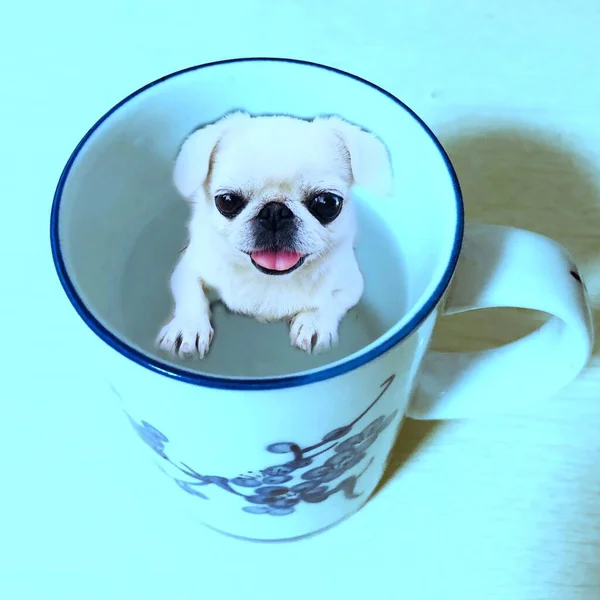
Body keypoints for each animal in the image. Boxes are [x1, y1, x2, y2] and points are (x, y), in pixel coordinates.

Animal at [157, 111, 392, 356]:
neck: (270, 280)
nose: (275, 211)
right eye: (227, 200)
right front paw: (188, 327)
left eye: (328, 202)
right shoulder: (190, 267)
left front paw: (314, 323)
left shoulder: (350, 284)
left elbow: (330, 301)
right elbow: (192, 293)